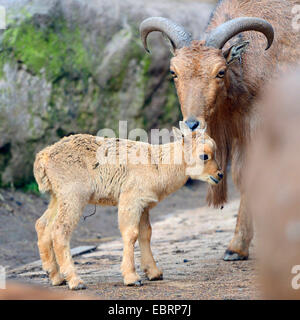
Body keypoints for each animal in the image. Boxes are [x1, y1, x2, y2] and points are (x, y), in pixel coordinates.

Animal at [34, 125, 223, 290]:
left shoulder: (144, 205)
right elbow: (131, 234)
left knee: (43, 225)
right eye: (204, 156)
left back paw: (56, 277)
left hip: (58, 196)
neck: (158, 166)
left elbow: (146, 234)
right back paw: (75, 281)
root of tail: (44, 157)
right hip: (73, 194)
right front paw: (132, 278)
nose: (219, 175)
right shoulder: (130, 199)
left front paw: (154, 273)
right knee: (60, 230)